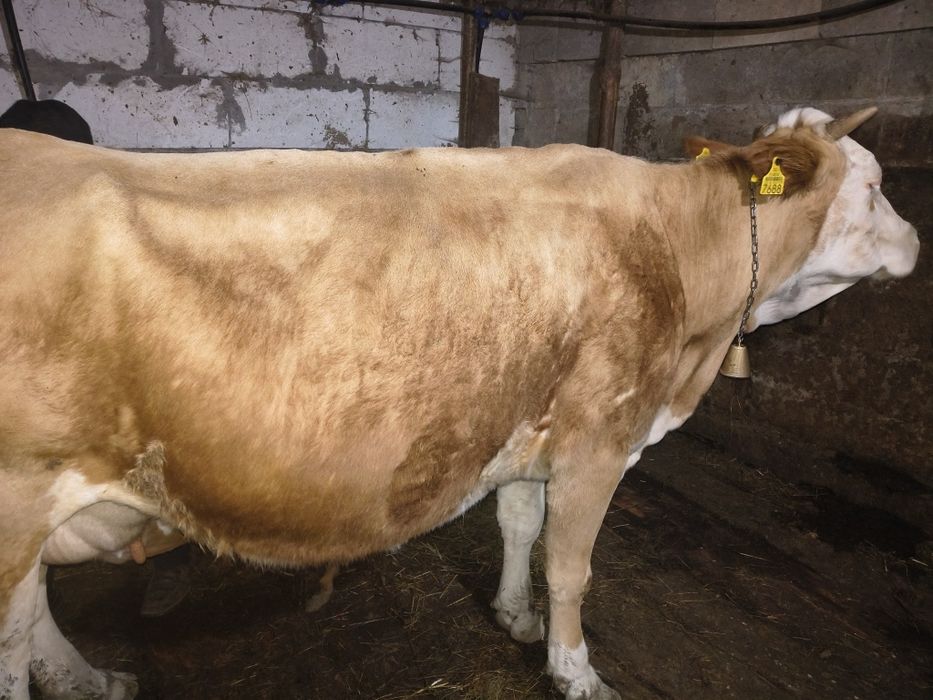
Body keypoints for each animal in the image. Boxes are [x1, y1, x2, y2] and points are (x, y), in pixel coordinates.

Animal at [0, 105, 918, 699]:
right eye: (875, 186)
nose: (916, 240)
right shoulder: (600, 435)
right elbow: (571, 566)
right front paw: (576, 672)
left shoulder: (529, 425)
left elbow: (517, 525)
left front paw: (513, 616)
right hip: (20, 495)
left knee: (33, 616)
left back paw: (90, 678)